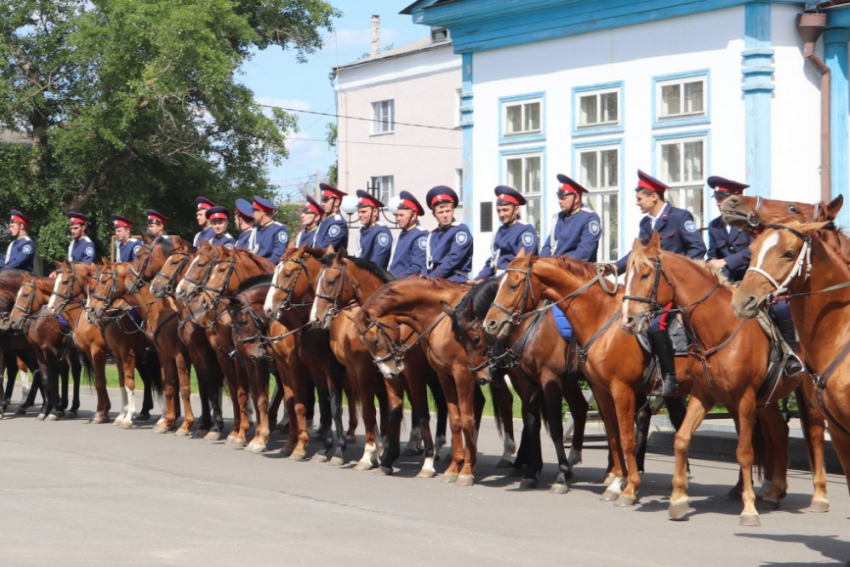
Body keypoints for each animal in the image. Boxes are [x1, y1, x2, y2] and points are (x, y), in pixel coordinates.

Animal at [308, 246, 448, 478]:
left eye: (331, 281)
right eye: (315, 280)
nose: (315, 319)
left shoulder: (383, 372)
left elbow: (374, 410)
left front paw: (369, 455)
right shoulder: (379, 373)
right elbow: (389, 411)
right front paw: (384, 456)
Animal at [620, 233, 824, 524]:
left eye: (646, 274)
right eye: (626, 275)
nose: (628, 321)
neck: (720, 329)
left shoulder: (745, 398)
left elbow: (745, 452)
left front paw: (749, 509)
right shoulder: (704, 394)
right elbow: (681, 438)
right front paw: (678, 500)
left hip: (807, 393)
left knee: (815, 434)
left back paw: (819, 496)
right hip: (767, 399)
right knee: (779, 431)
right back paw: (774, 491)